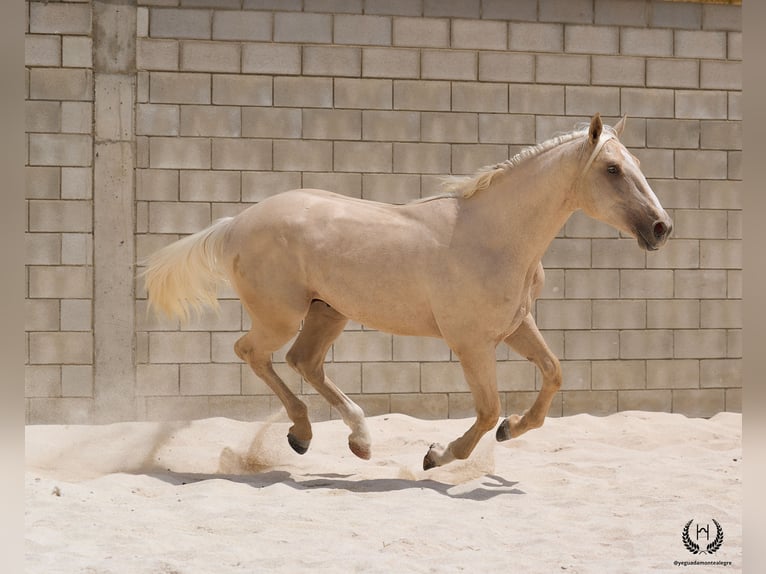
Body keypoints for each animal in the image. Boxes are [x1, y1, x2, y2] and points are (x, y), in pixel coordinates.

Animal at [144, 113, 672, 470]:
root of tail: (237, 223)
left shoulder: (516, 326)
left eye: (635, 162)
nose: (661, 228)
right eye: (611, 169)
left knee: (303, 361)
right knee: (253, 352)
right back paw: (306, 432)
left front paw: (512, 430)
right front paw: (437, 455)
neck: (493, 236)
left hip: (329, 311)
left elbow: (554, 375)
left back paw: (350, 440)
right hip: (281, 315)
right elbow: (488, 409)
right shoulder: (471, 343)